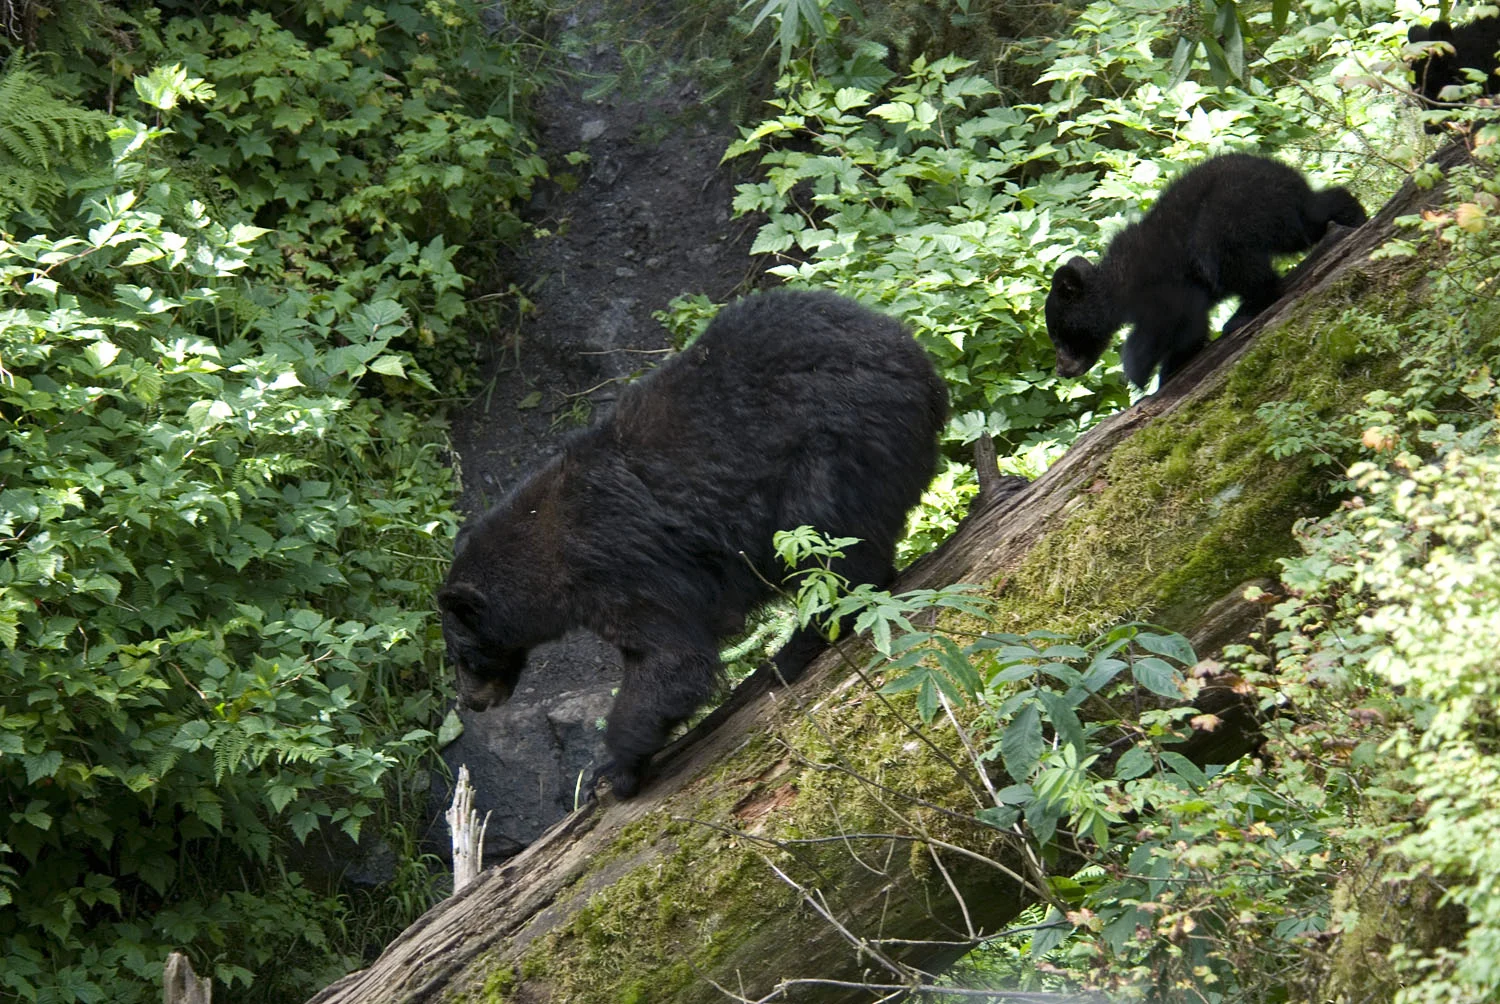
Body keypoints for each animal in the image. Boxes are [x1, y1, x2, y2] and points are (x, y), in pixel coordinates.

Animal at [437, 289, 947, 798]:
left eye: (463, 656)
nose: (472, 701)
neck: (547, 548)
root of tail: (918, 361)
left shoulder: (620, 567)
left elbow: (672, 661)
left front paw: (613, 771)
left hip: (831, 455)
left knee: (831, 556)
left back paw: (789, 655)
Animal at [1045, 153, 1367, 391]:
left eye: (1059, 337)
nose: (1061, 370)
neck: (1115, 289)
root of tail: (1286, 173)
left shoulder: (1157, 285)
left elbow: (1172, 320)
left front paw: (1140, 371)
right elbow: (1190, 326)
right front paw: (1171, 366)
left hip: (1228, 211)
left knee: (1227, 254)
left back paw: (1243, 314)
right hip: (1278, 215)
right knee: (1311, 218)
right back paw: (1354, 215)